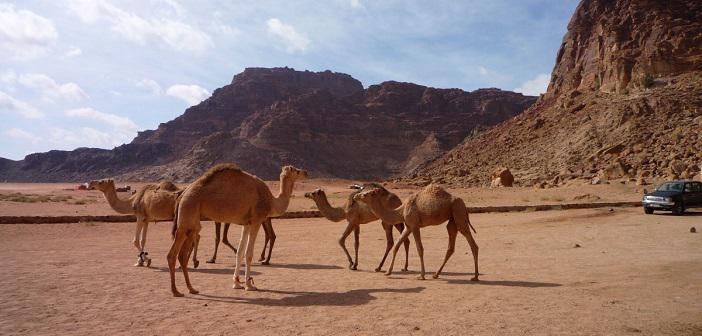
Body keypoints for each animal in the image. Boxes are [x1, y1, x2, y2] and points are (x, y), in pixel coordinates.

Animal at [168, 164, 308, 298]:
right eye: (296, 171)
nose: (306, 172)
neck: (271, 201)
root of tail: (182, 195)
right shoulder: (256, 220)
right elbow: (248, 254)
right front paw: (249, 285)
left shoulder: (246, 224)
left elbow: (240, 253)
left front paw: (236, 283)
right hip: (188, 214)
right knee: (172, 254)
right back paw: (176, 291)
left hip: (192, 222)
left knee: (182, 255)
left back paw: (191, 289)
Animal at [354, 184, 482, 280]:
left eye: (365, 194)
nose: (355, 196)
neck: (401, 211)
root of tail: (464, 204)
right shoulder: (408, 226)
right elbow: (397, 245)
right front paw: (388, 272)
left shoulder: (415, 226)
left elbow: (419, 249)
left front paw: (421, 275)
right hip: (452, 219)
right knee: (451, 245)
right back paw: (436, 274)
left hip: (459, 213)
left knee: (473, 244)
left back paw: (475, 276)